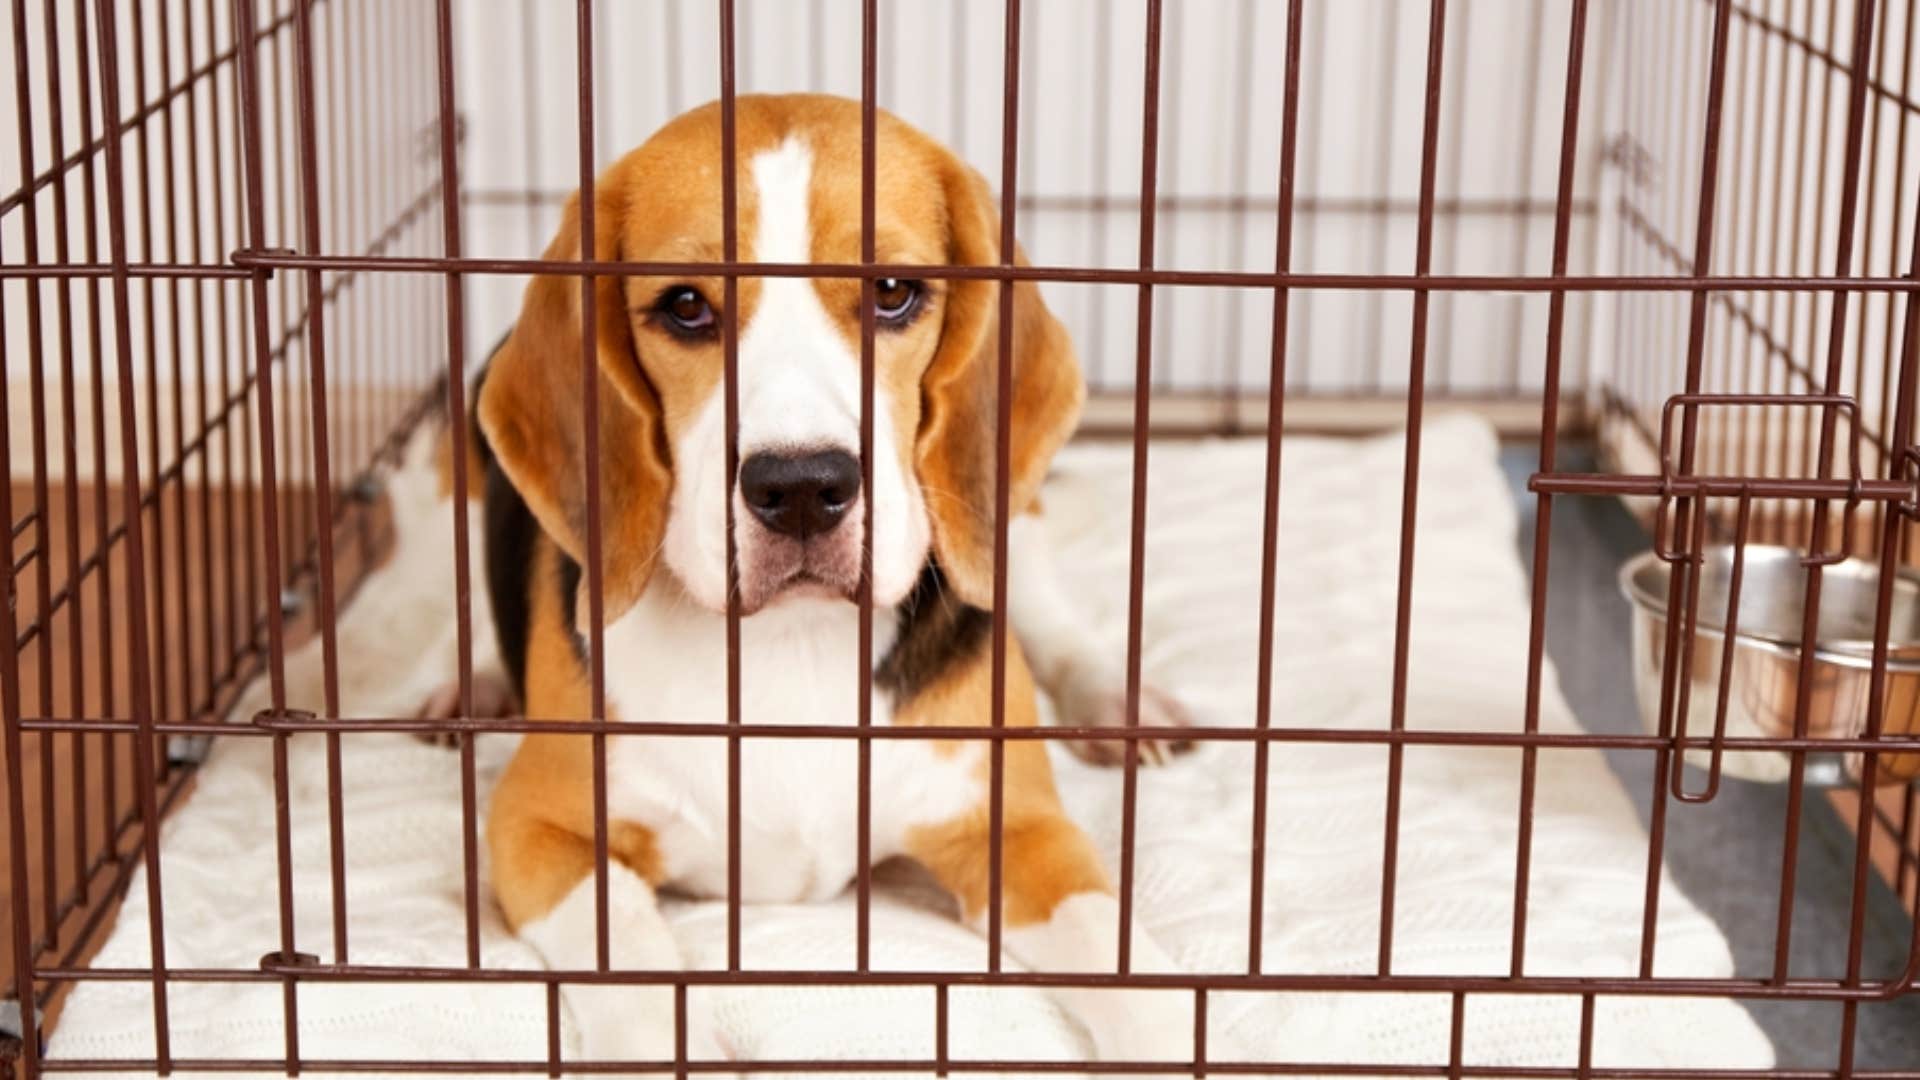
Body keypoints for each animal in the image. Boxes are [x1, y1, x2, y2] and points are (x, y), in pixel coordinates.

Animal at [464, 94, 1198, 1068]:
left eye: (892, 293)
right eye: (685, 306)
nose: (803, 488)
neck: (793, 644)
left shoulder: (1018, 829)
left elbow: (1129, 968)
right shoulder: (540, 828)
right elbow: (628, 954)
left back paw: (1118, 700)